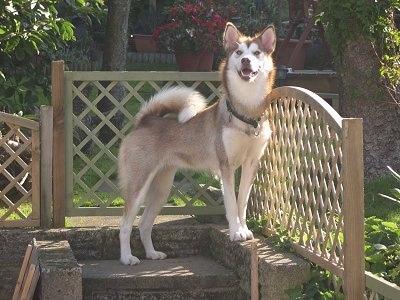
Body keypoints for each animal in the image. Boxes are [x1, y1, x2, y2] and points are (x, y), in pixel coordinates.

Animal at [119, 22, 276, 264]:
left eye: (257, 53)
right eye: (239, 52)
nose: (246, 61)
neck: (247, 114)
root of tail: (145, 121)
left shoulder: (251, 164)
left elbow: (242, 203)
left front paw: (244, 230)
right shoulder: (226, 167)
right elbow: (231, 204)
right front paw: (235, 233)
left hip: (161, 190)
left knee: (144, 225)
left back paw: (152, 253)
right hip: (138, 186)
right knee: (125, 225)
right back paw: (127, 257)